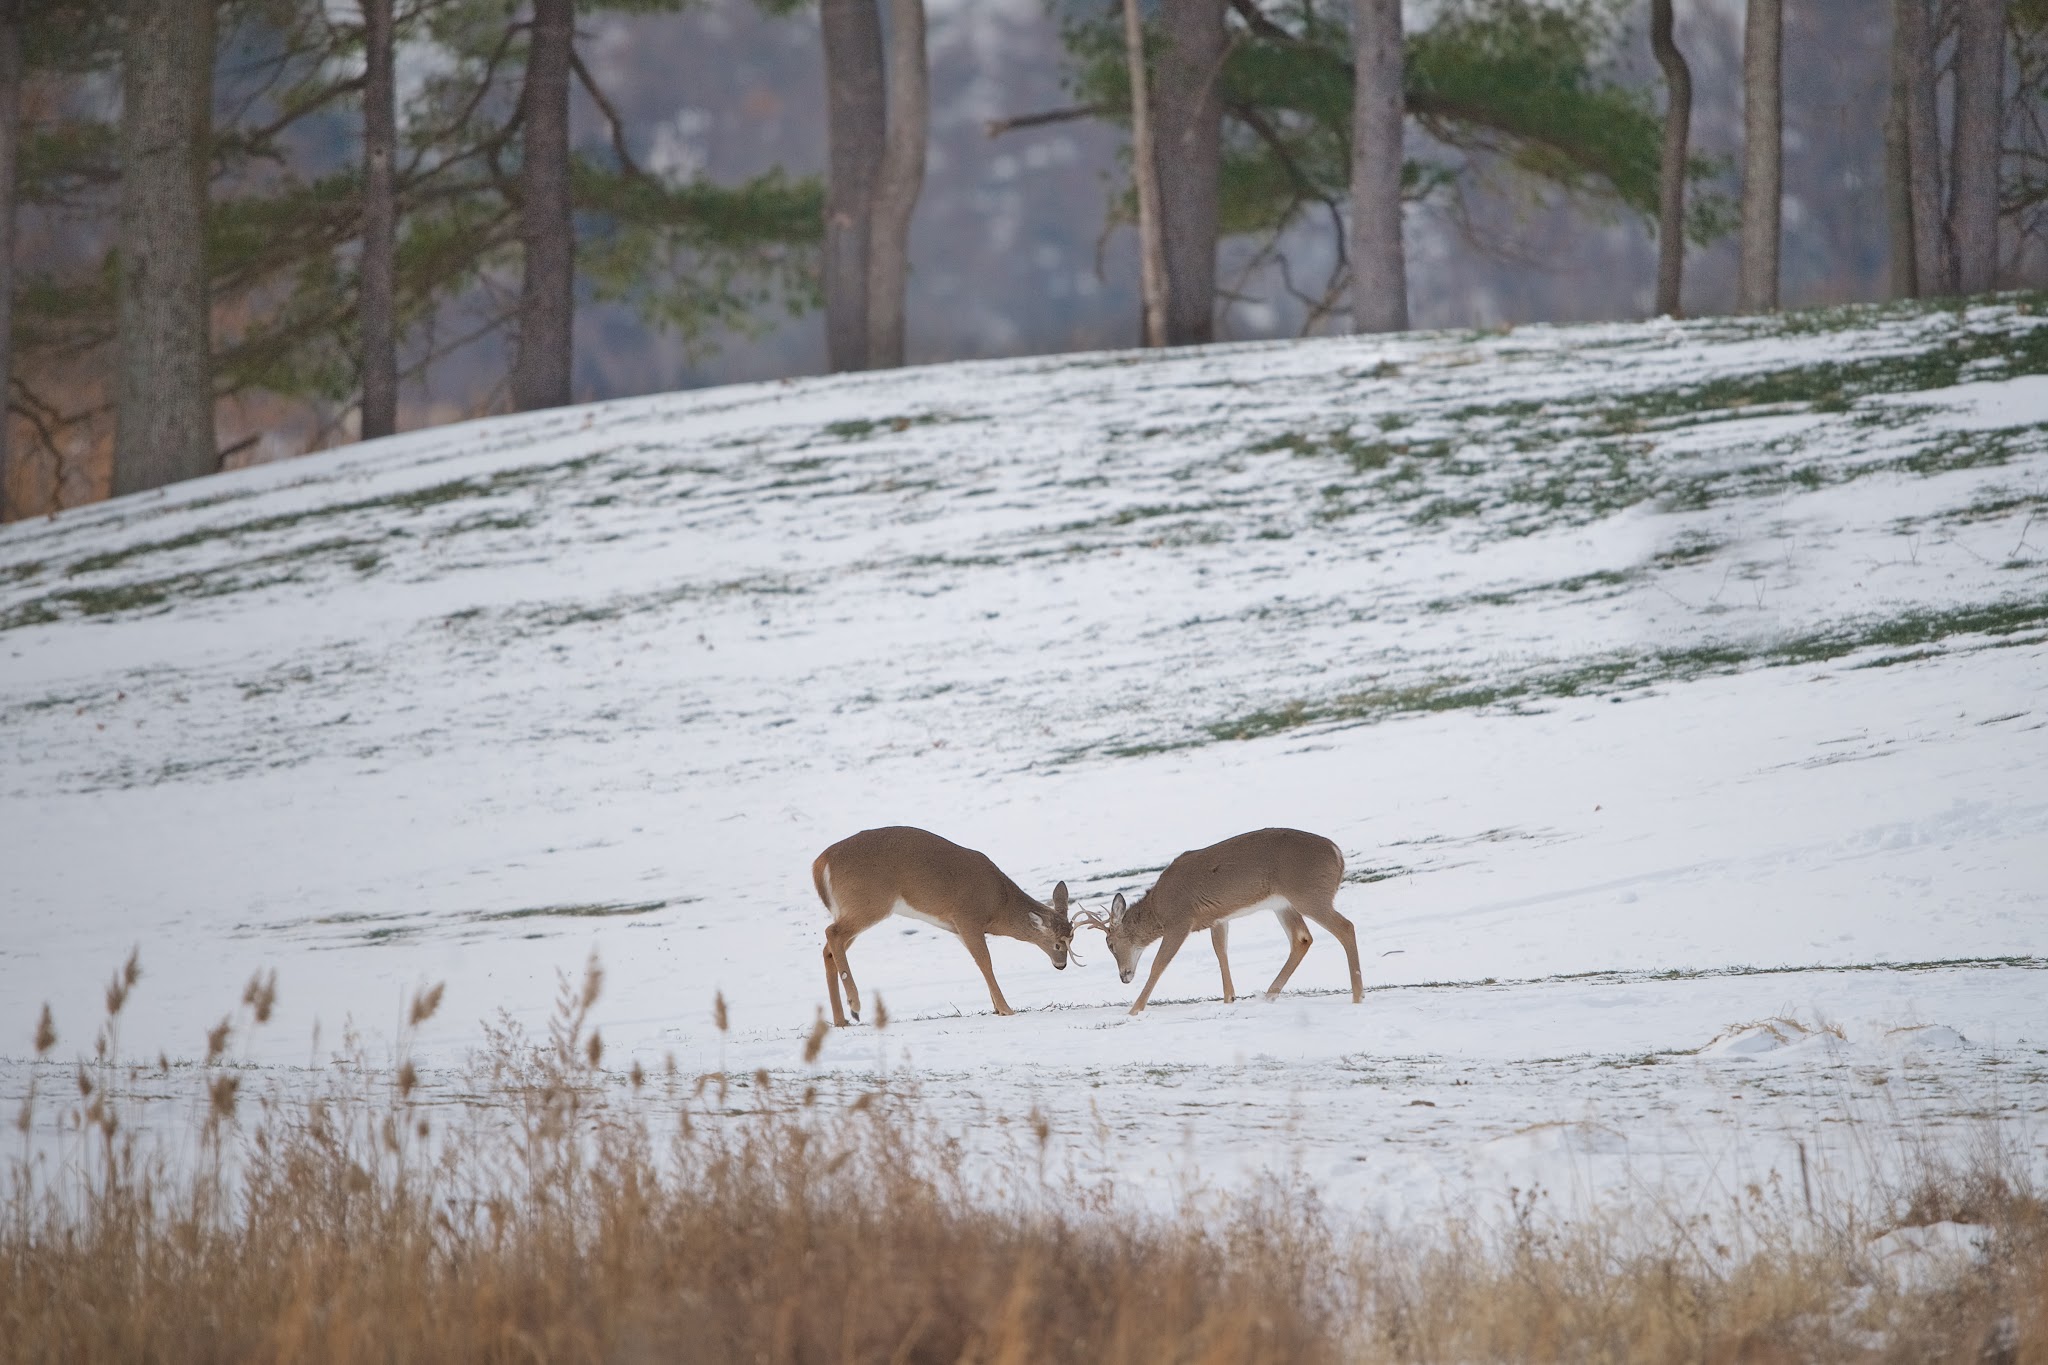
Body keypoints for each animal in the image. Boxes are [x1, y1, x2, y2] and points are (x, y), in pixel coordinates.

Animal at [810, 826, 1075, 1027]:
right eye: (1057, 944)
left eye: (1072, 938)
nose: (1061, 965)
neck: (999, 903)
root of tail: (819, 864)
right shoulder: (967, 917)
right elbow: (985, 962)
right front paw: (1006, 1009)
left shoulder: (957, 928)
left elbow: (981, 963)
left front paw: (997, 1007)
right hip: (869, 903)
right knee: (831, 933)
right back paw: (854, 1006)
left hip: (849, 909)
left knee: (828, 949)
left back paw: (841, 1020)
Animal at [1075, 827, 1363, 1015]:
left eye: (1110, 944)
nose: (1123, 976)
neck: (1158, 908)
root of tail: (1338, 854)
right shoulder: (1217, 918)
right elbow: (1220, 951)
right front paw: (1229, 998)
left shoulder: (1181, 920)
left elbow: (1159, 965)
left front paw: (1134, 1010)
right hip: (1283, 903)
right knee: (1302, 938)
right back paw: (1268, 994)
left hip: (1308, 894)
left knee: (1345, 927)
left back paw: (1357, 995)